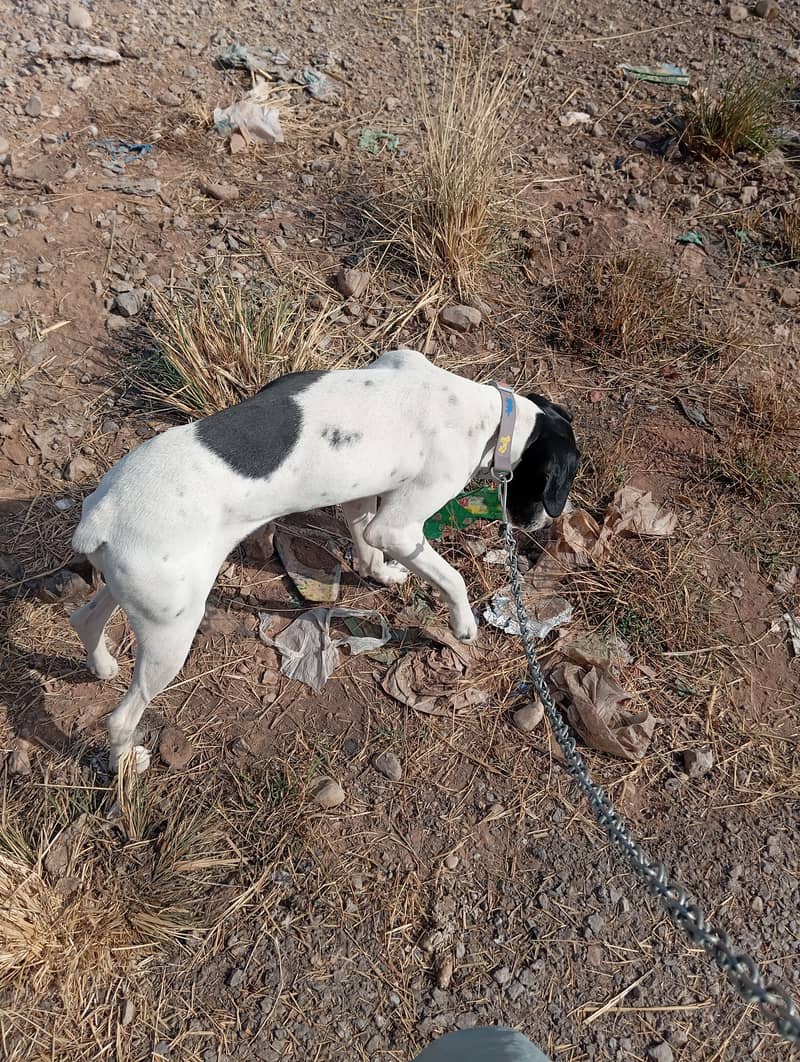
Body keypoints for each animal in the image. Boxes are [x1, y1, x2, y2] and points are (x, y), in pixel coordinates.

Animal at [70, 348, 573, 773]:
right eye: (558, 482)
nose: (540, 524)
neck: (486, 416)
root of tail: (101, 512)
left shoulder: (362, 500)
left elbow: (366, 547)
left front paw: (381, 574)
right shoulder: (399, 528)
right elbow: (451, 578)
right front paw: (463, 623)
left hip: (144, 595)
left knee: (85, 618)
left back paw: (101, 665)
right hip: (171, 634)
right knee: (120, 717)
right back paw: (124, 763)